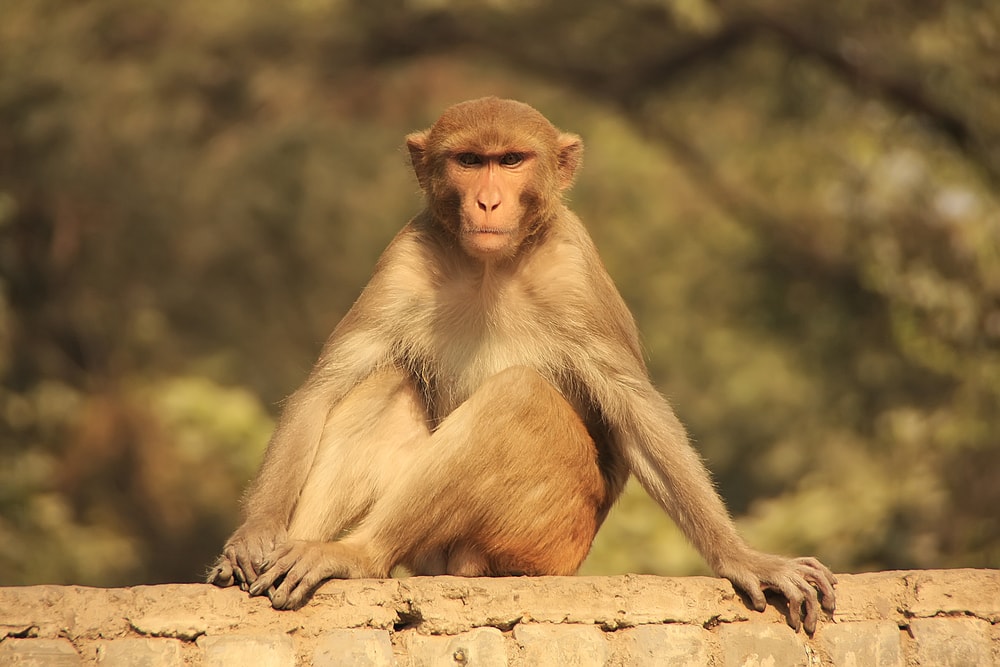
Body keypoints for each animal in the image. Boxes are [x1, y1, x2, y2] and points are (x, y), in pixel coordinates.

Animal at [208, 96, 837, 633]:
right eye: (469, 161)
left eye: (510, 160)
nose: (487, 201)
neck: (491, 266)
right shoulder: (405, 257)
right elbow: (323, 388)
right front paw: (254, 535)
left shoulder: (574, 268)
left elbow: (634, 411)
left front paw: (742, 557)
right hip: (441, 552)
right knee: (386, 383)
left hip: (543, 539)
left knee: (518, 398)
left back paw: (355, 555)